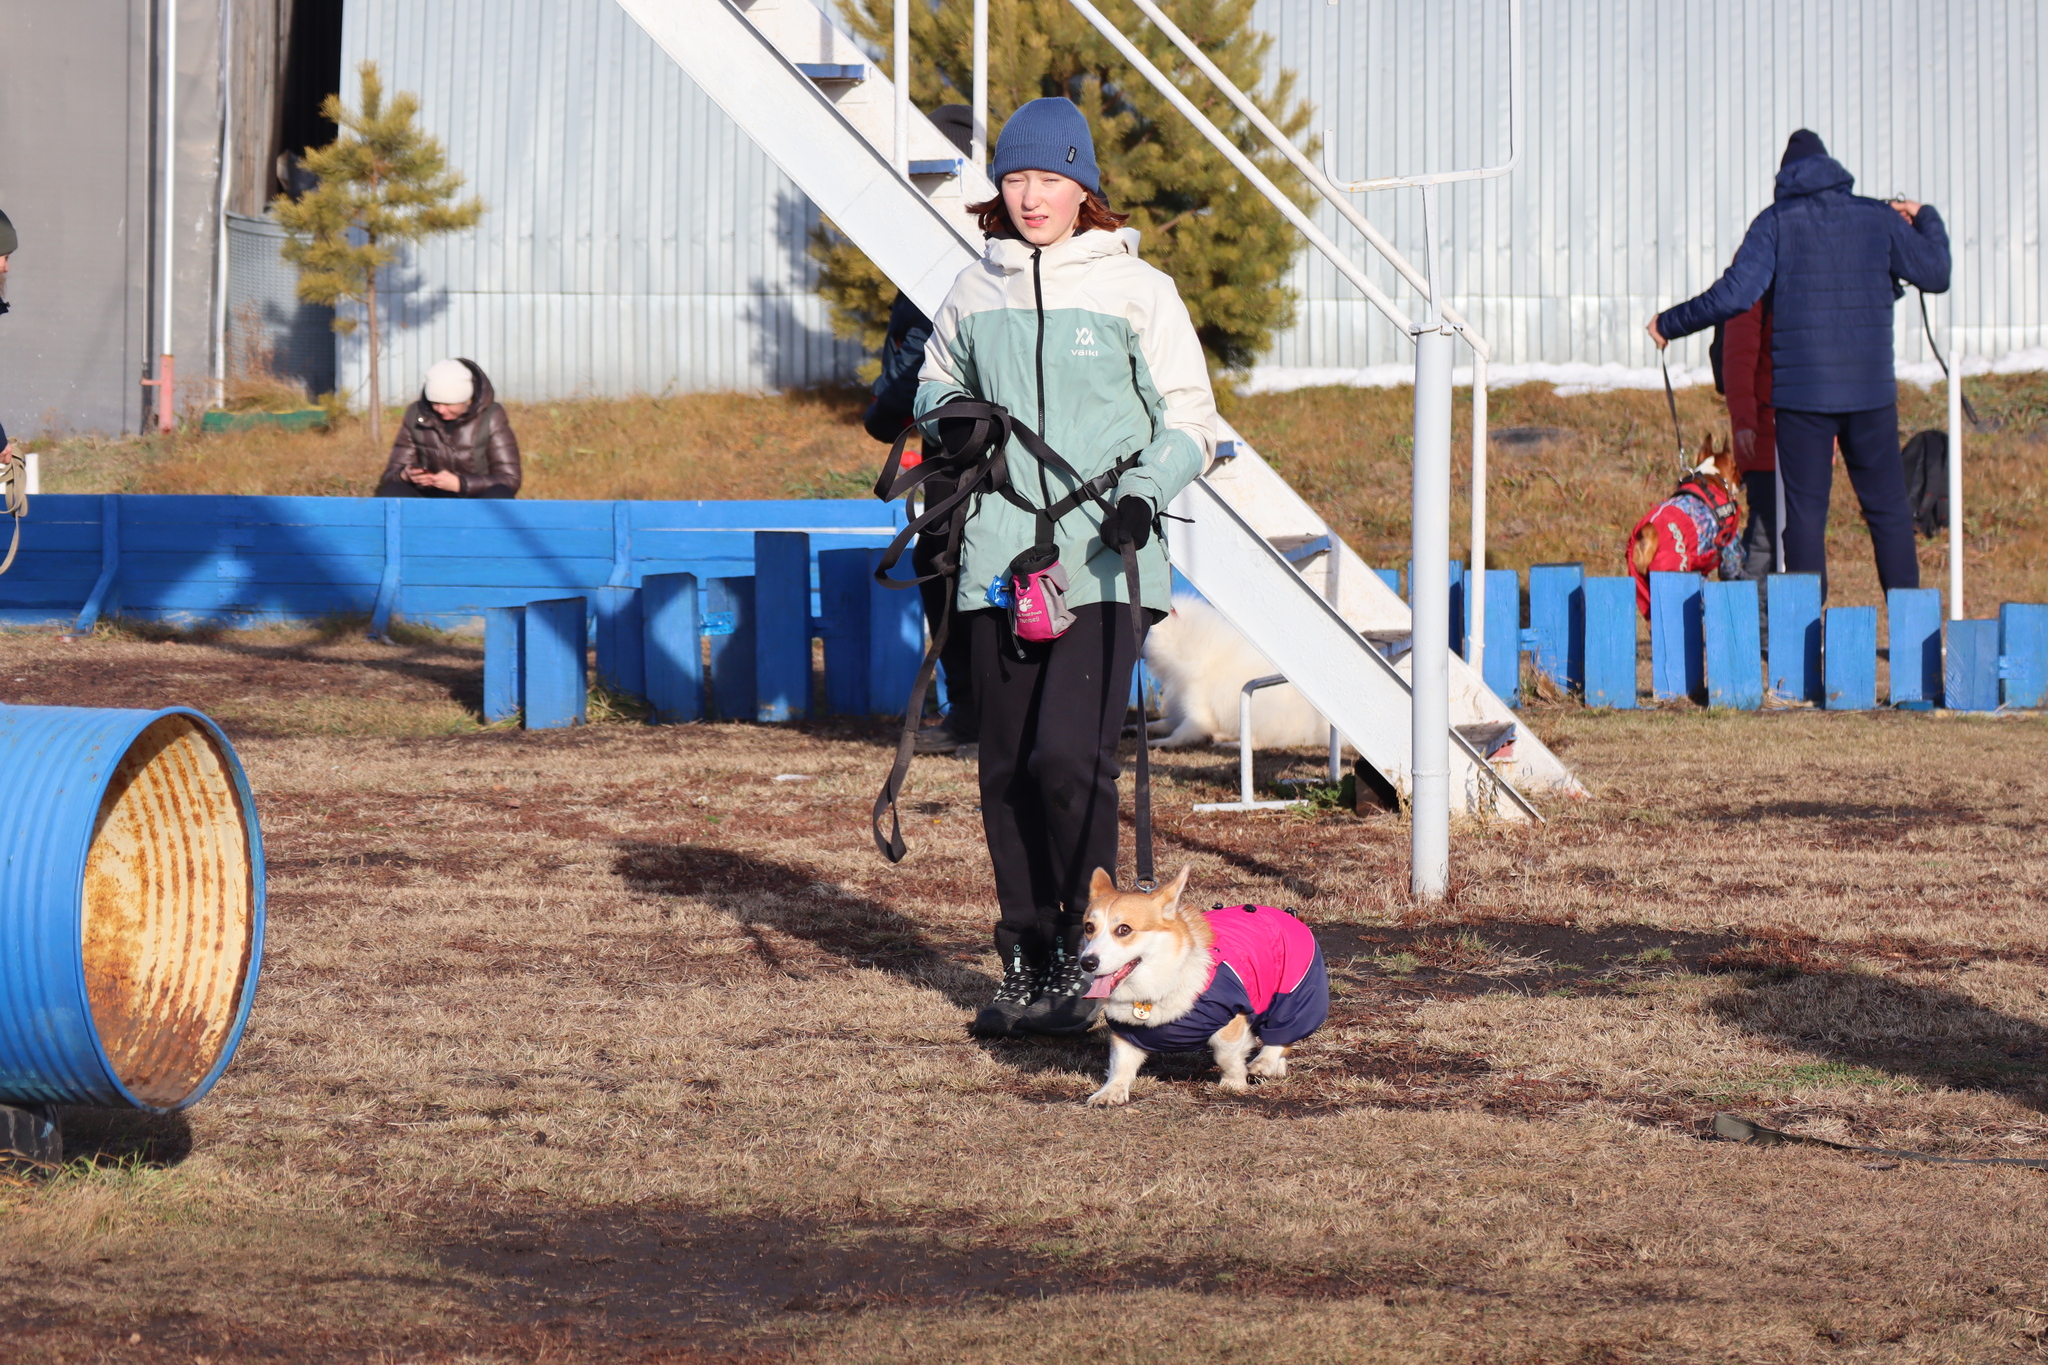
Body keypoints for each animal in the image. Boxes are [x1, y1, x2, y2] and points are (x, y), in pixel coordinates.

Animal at [1073, 863, 1327, 1113]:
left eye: (1124, 929)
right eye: (1089, 927)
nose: (1087, 962)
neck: (1158, 984)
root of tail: (1286, 915)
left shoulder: (1231, 1018)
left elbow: (1227, 1055)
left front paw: (1234, 1083)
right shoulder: (1125, 1030)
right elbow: (1120, 1063)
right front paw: (1110, 1092)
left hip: (1293, 993)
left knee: (1282, 1034)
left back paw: (1264, 1063)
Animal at [1138, 593, 1327, 749]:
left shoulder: (1198, 710)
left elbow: (1181, 733)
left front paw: (1161, 743)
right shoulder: (1180, 709)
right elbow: (1162, 723)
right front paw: (1139, 728)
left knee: (1260, 741)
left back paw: (1228, 743)